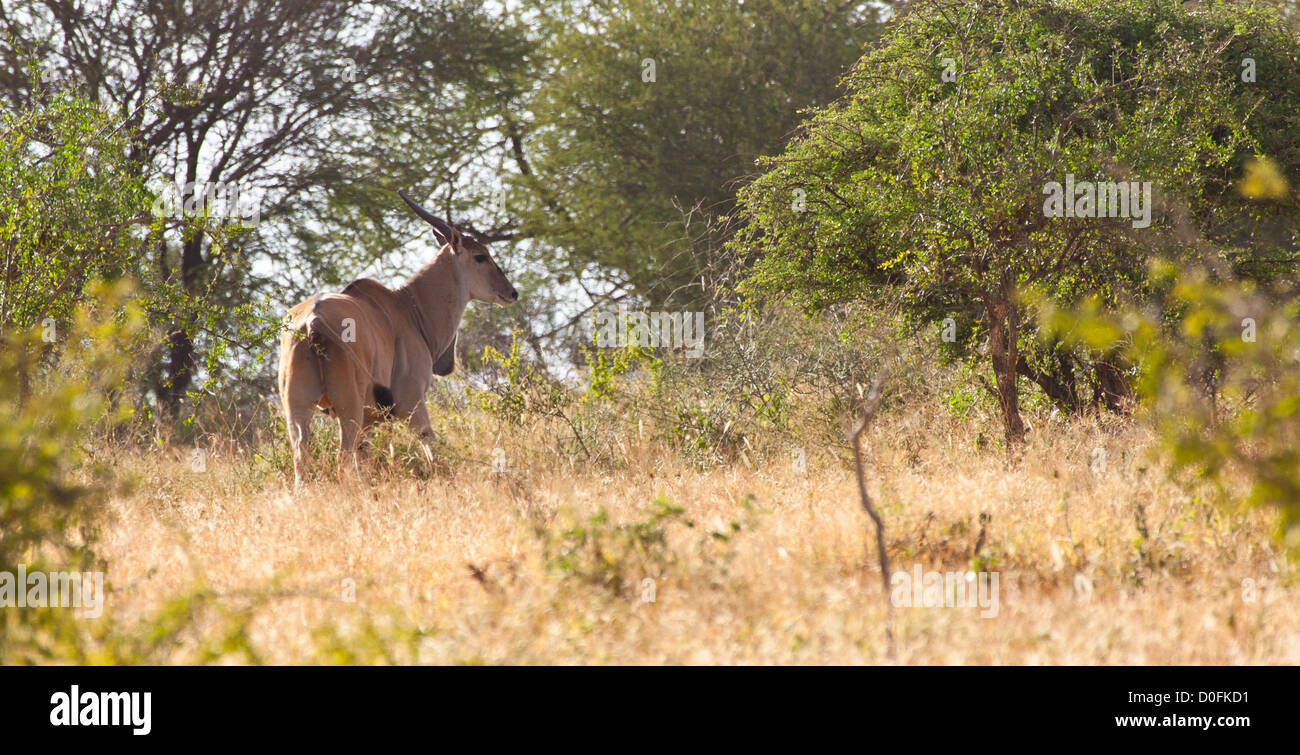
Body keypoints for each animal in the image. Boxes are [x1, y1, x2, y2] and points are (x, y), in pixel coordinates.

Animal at [278, 187, 517, 483]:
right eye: (481, 256)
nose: (512, 292)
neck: (409, 309)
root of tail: (313, 322)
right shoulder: (411, 402)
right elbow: (431, 446)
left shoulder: (370, 419)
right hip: (349, 406)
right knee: (342, 457)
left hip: (297, 408)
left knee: (302, 458)